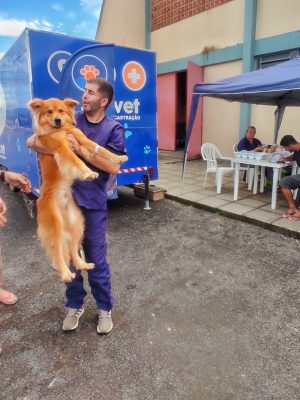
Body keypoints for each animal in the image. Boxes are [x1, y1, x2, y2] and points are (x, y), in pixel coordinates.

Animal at [27, 97, 127, 282]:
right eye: (49, 112)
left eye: (61, 110)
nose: (57, 120)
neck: (61, 129)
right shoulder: (62, 148)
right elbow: (76, 161)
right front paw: (88, 173)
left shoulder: (80, 139)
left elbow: (99, 148)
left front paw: (118, 157)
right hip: (56, 228)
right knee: (58, 253)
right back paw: (66, 274)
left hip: (77, 225)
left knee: (73, 250)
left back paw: (83, 265)